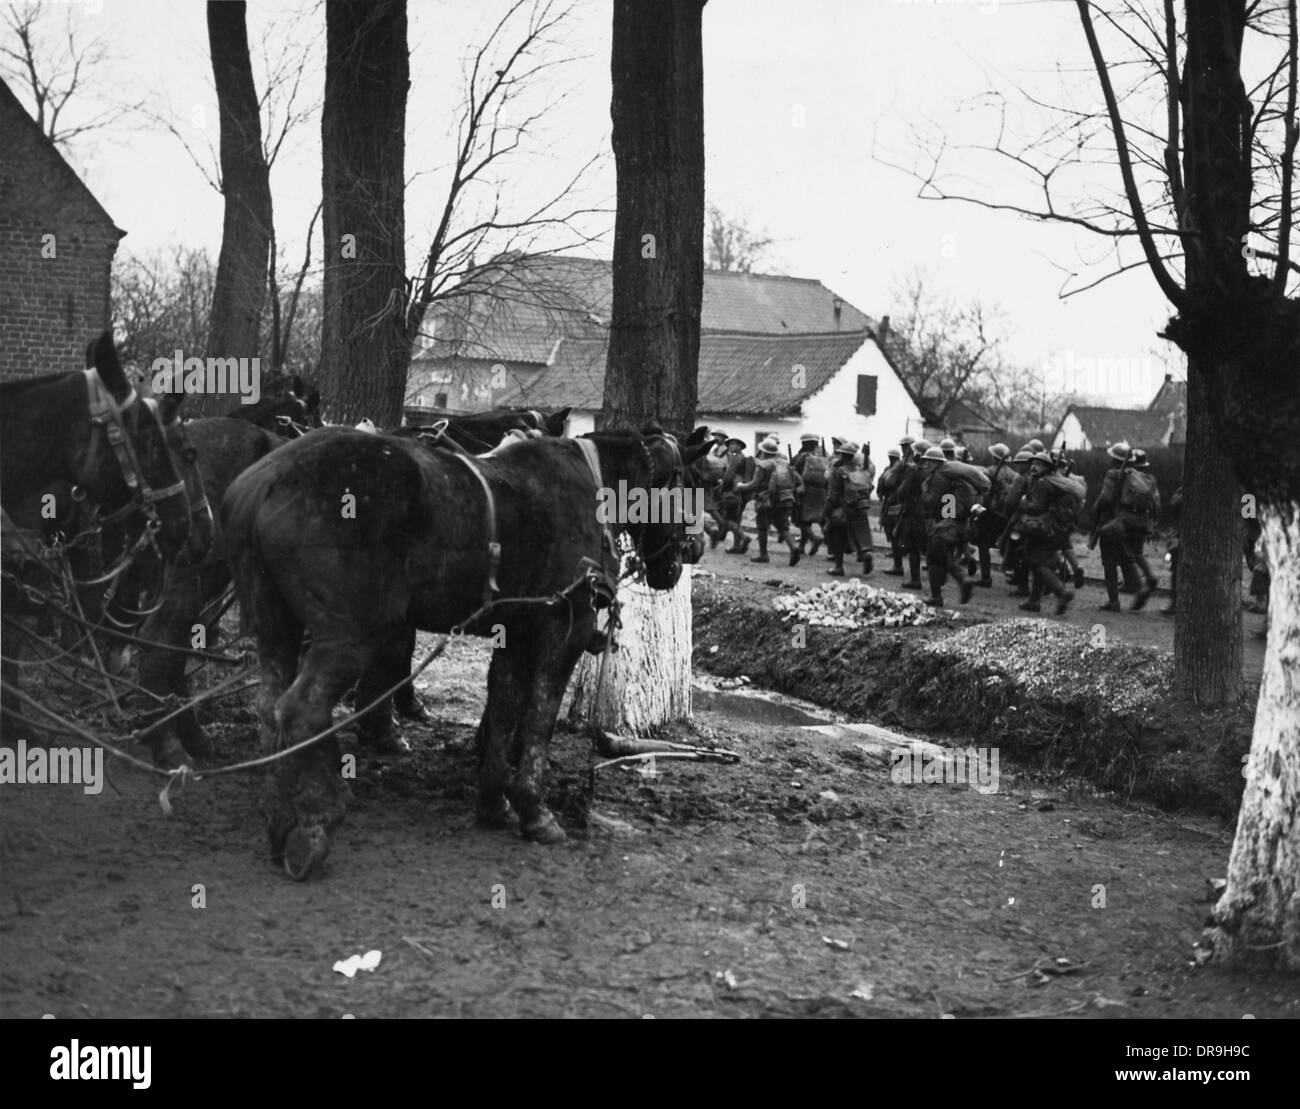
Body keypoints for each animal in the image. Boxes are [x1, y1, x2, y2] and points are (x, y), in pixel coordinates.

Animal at [223, 421, 712, 873]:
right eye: (687, 483)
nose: (693, 549)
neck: (590, 484)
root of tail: (264, 483)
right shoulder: (564, 629)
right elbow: (538, 721)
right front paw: (534, 809)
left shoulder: (515, 634)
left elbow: (504, 712)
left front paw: (494, 802)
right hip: (350, 635)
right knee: (301, 711)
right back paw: (319, 816)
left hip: (277, 629)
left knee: (271, 710)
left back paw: (281, 820)